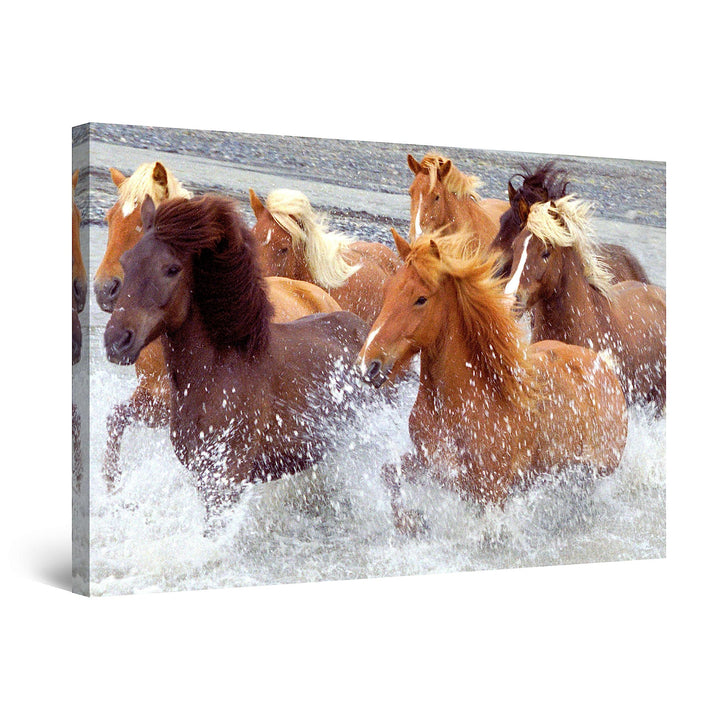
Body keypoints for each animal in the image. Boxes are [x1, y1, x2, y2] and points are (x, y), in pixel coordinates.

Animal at [357, 228, 628, 534]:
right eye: (388, 291)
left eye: (421, 299)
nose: (368, 364)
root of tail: (604, 365)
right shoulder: (432, 464)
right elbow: (389, 475)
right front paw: (413, 522)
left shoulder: (489, 490)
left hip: (593, 473)